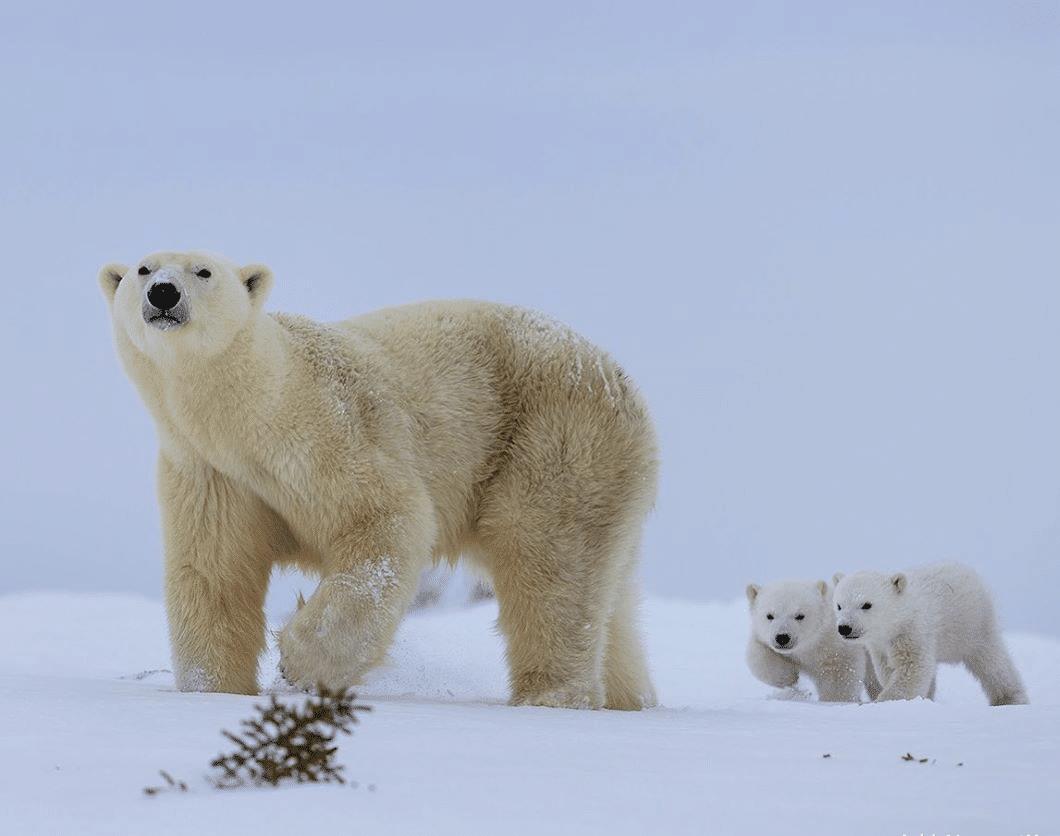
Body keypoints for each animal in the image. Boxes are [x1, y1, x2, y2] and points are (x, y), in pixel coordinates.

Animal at [101, 251, 661, 707]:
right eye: (143, 269)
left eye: (203, 271)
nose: (163, 293)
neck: (254, 414)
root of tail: (625, 385)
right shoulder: (210, 472)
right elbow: (213, 571)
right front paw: (212, 688)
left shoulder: (332, 429)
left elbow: (386, 523)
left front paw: (299, 663)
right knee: (609, 595)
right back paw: (630, 698)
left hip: (554, 440)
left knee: (550, 564)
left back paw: (550, 695)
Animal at [746, 580, 877, 699]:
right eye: (769, 616)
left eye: (799, 616)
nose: (782, 637)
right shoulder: (763, 638)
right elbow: (759, 655)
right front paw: (789, 677)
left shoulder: (835, 646)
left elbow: (839, 674)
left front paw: (835, 701)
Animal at [835, 559, 1026, 703]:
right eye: (839, 605)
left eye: (866, 604)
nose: (844, 628)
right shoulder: (879, 646)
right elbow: (888, 669)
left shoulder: (913, 632)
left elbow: (913, 669)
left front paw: (883, 701)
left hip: (975, 625)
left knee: (993, 663)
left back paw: (1010, 699)